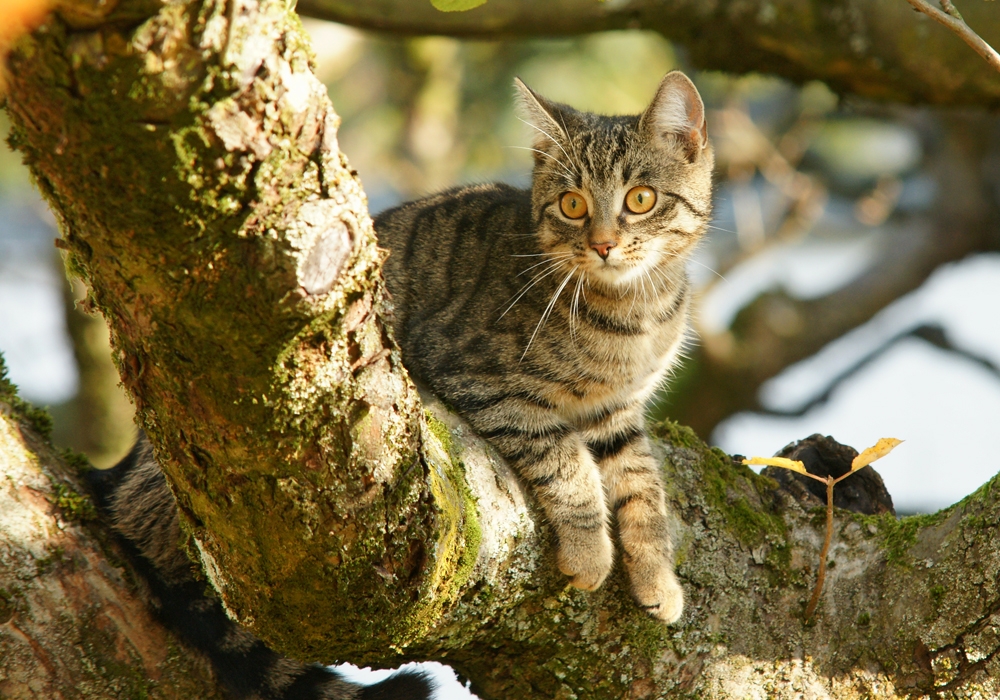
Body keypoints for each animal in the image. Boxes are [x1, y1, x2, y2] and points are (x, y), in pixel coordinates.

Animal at [374, 68, 712, 620]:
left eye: (640, 198)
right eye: (572, 205)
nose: (603, 244)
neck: (636, 311)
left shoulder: (615, 412)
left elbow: (643, 484)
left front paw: (657, 576)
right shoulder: (468, 369)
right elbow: (565, 458)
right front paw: (590, 551)